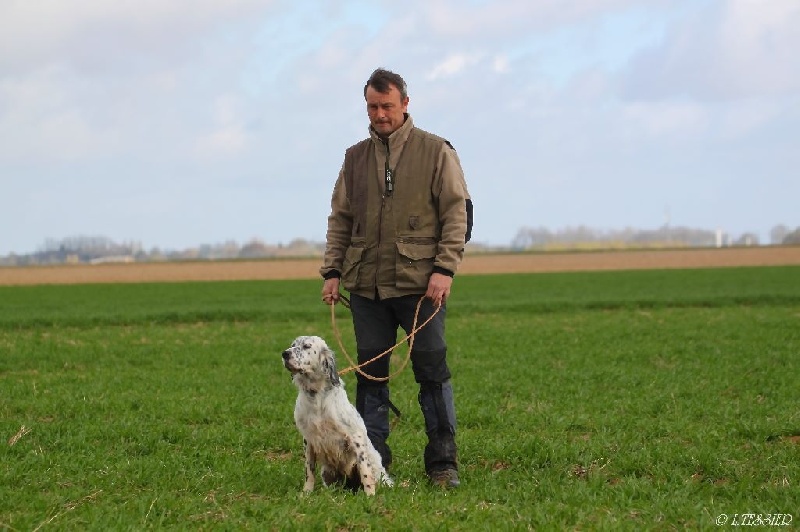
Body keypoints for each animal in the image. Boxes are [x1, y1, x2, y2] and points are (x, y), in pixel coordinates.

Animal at [282, 336, 394, 494]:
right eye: (292, 345)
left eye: (306, 346)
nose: (285, 354)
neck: (316, 396)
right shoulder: (308, 439)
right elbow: (309, 470)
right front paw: (306, 493)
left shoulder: (355, 436)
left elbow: (365, 471)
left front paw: (370, 495)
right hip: (326, 472)